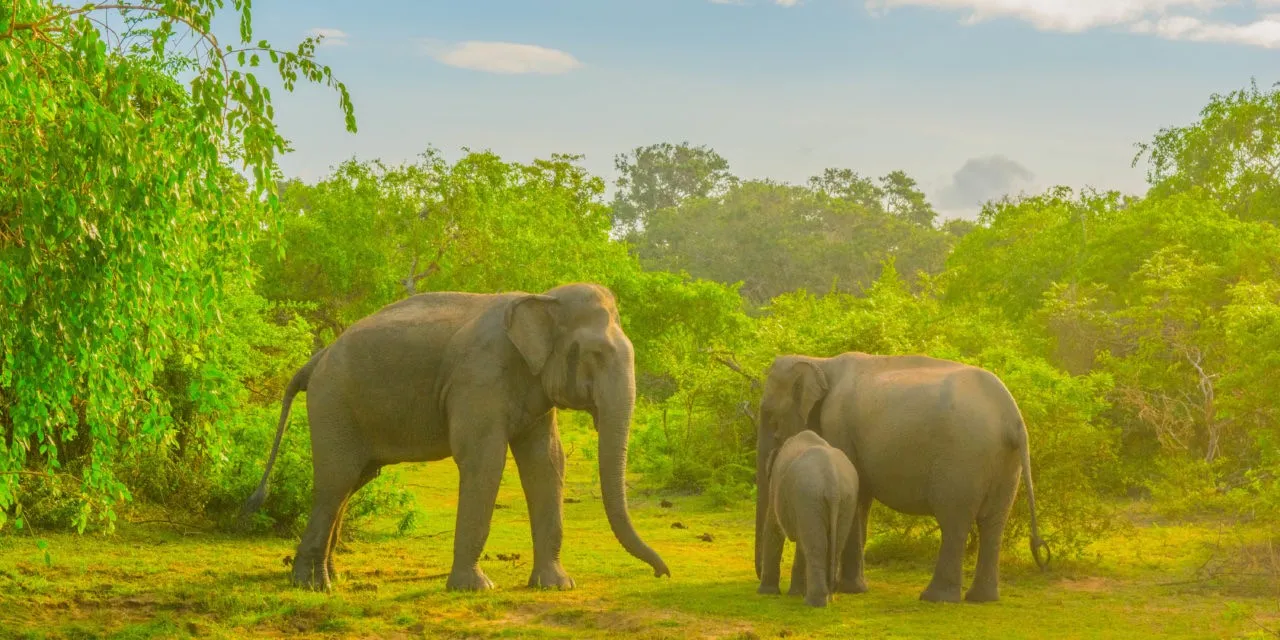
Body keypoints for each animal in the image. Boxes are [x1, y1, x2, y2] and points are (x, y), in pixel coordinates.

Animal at [242, 282, 670, 592]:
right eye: (594, 355)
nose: (661, 574)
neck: (542, 297)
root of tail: (317, 358)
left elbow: (547, 462)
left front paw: (557, 586)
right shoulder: (478, 376)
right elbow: (484, 460)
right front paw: (475, 589)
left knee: (351, 483)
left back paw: (333, 577)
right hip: (333, 404)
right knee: (335, 482)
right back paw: (313, 587)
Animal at [757, 429, 860, 608]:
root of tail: (832, 483)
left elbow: (773, 528)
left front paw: (767, 593)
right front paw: (795, 593)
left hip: (809, 495)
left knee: (816, 547)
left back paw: (813, 602)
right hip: (845, 499)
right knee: (834, 543)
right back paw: (827, 597)